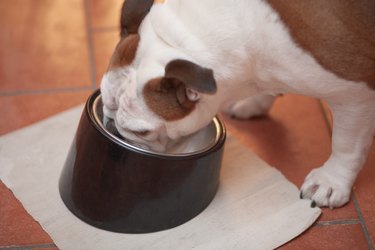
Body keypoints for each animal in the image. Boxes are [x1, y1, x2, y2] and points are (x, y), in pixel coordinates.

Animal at [100, 0, 375, 209]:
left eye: (141, 131)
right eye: (104, 99)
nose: (111, 127)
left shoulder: (355, 93)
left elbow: (345, 144)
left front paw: (331, 181)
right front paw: (256, 101)